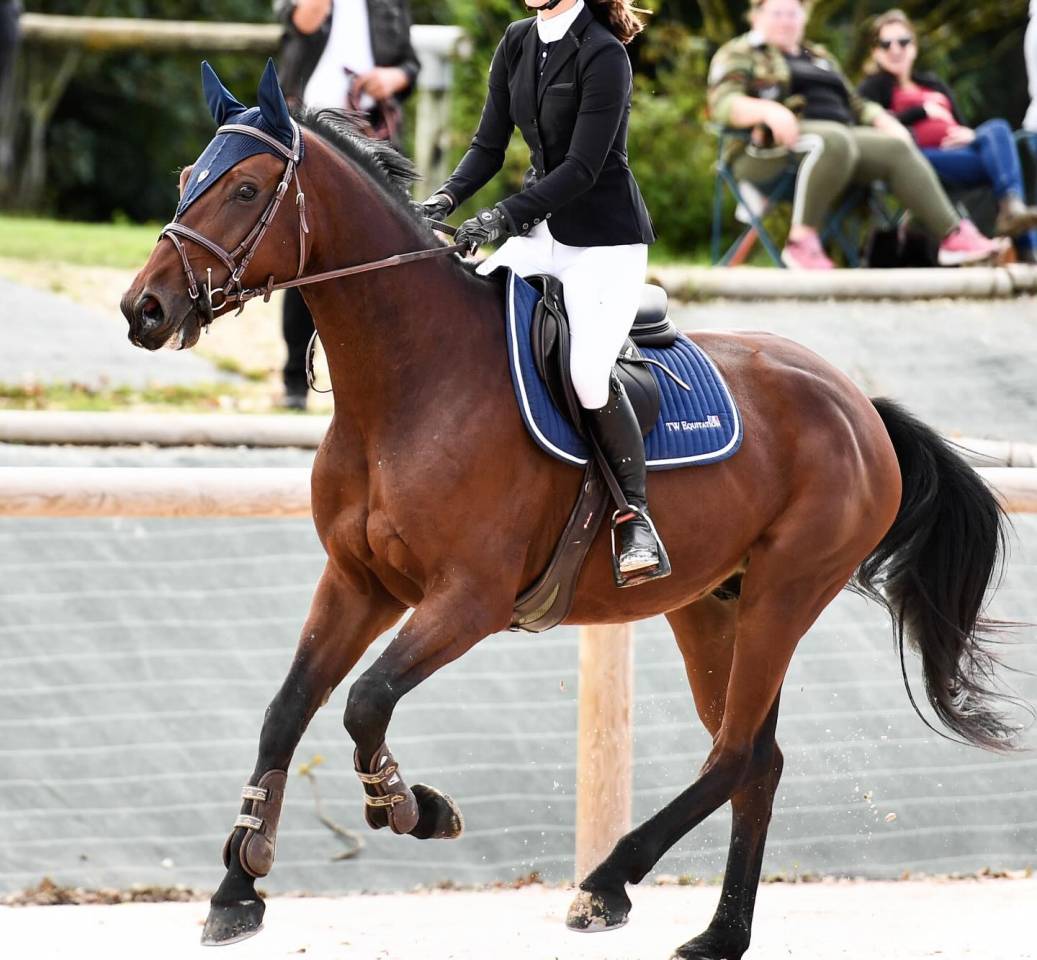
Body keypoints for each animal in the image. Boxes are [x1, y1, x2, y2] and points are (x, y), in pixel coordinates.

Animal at [121, 63, 1016, 958]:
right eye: (186, 178)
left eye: (244, 189)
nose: (145, 310)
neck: (406, 383)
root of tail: (856, 402)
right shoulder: (356, 583)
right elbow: (286, 710)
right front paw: (238, 888)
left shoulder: (468, 600)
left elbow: (365, 700)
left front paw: (411, 807)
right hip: (709, 605)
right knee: (755, 759)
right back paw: (716, 933)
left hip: (784, 594)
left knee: (732, 755)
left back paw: (608, 881)